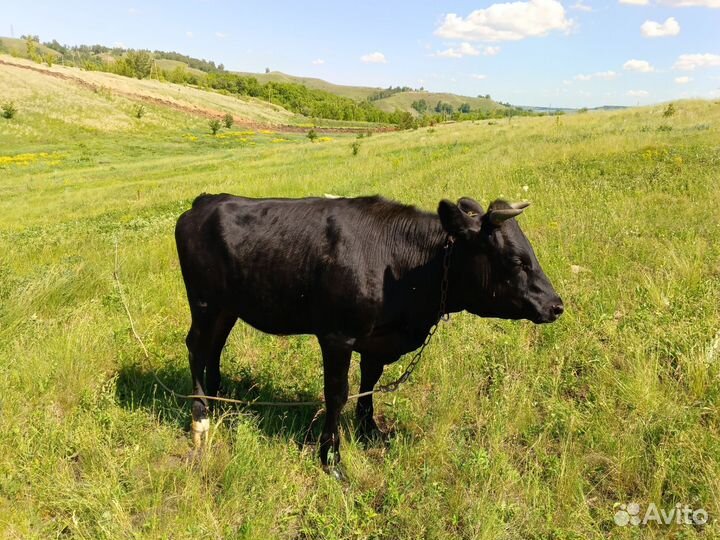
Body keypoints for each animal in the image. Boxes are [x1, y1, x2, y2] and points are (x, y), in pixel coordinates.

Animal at [175, 194, 563, 473]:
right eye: (515, 261)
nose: (556, 305)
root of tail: (205, 201)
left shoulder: (377, 341)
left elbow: (369, 384)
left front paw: (370, 431)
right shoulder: (337, 335)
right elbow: (337, 394)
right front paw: (331, 458)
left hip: (228, 308)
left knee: (214, 348)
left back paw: (219, 401)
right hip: (204, 302)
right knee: (196, 347)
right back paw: (200, 417)